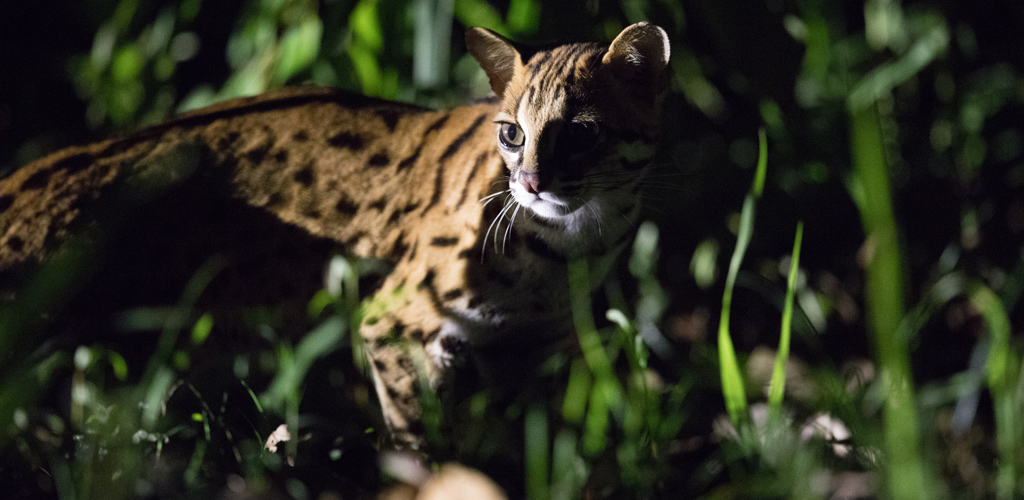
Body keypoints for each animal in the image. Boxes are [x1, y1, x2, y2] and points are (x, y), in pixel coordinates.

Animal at [0, 22, 671, 452]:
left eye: (580, 132)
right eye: (511, 133)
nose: (529, 183)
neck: (573, 243)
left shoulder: (535, 347)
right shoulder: (392, 323)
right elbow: (419, 436)